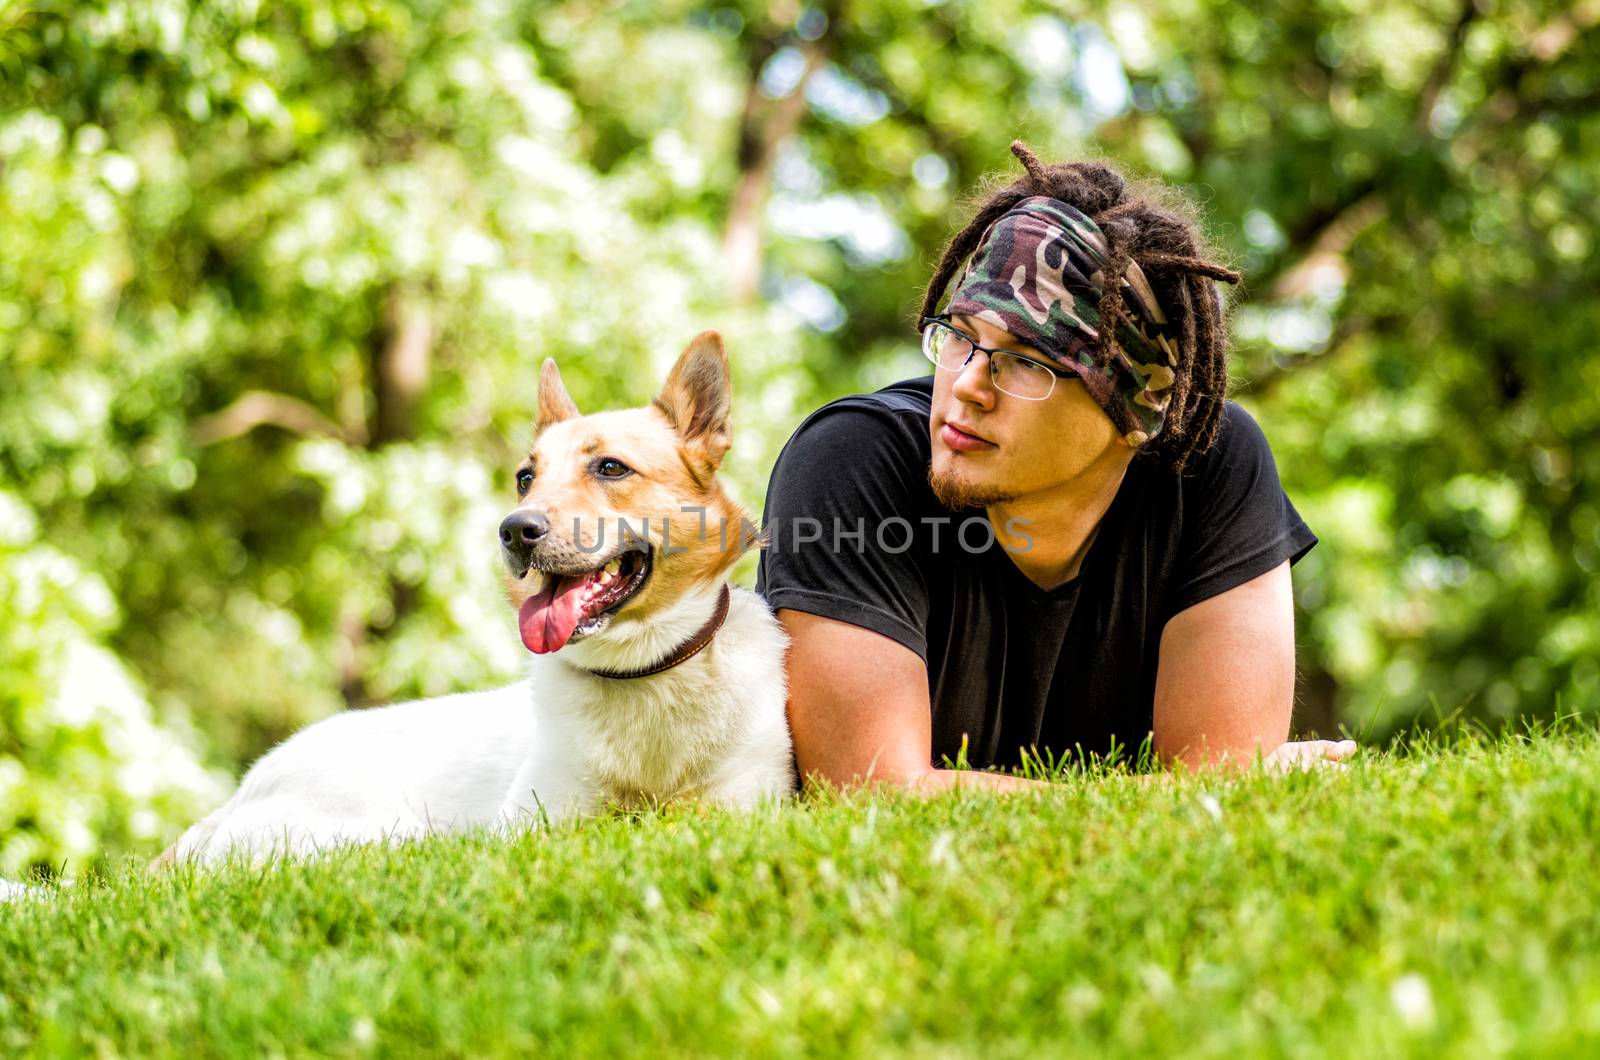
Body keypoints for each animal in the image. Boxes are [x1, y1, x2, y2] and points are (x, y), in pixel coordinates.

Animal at [167, 329, 793, 864]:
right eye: (525, 478)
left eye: (611, 467)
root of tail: (234, 799)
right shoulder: (533, 821)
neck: (641, 671)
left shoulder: (747, 802)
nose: (515, 530)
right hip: (377, 830)